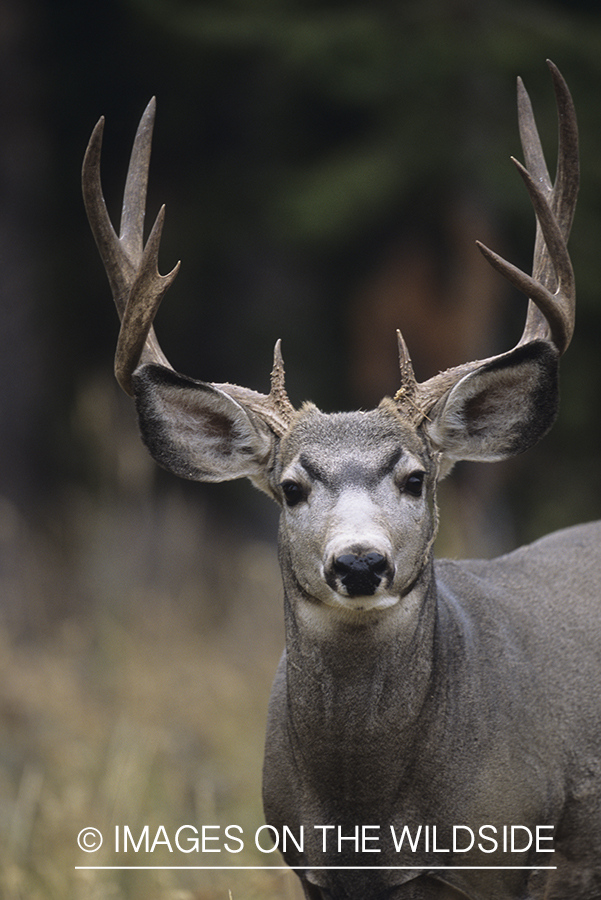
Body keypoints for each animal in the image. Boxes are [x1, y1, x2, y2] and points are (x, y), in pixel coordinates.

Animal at [82, 59, 596, 896]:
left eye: (414, 477)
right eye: (291, 486)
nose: (359, 562)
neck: (369, 817)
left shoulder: (505, 857)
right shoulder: (309, 868)